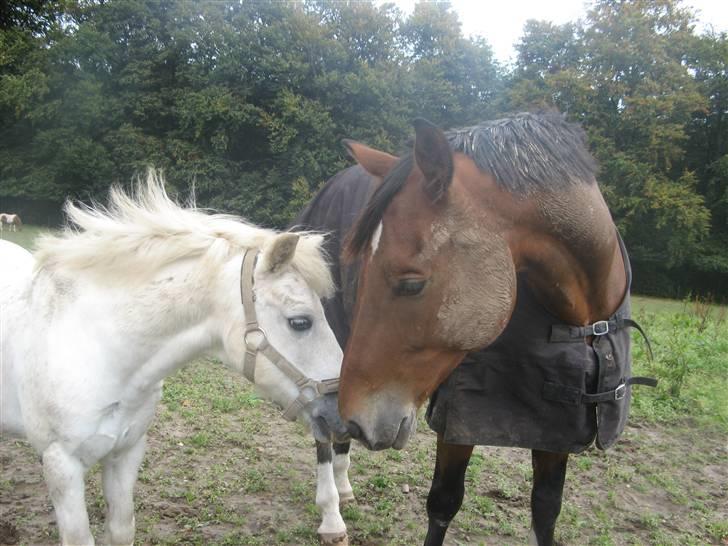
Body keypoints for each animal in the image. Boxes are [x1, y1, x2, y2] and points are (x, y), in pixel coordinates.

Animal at [0, 173, 352, 544]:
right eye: (300, 322)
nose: (342, 411)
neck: (96, 348)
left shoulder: (126, 453)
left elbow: (121, 529)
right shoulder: (61, 466)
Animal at [296, 111, 656, 544]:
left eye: (412, 283)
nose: (359, 419)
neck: (582, 317)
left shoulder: (559, 429)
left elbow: (546, 509)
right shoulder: (457, 425)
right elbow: (443, 502)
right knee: (324, 431)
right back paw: (332, 514)